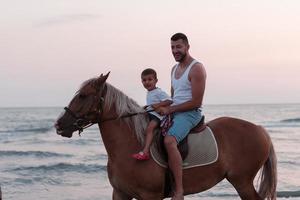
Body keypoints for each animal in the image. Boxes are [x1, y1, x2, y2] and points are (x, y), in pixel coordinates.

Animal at [54, 73, 276, 200]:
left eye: (82, 95)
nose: (59, 125)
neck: (128, 146)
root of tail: (259, 129)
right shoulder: (120, 193)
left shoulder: (150, 196)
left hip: (242, 182)